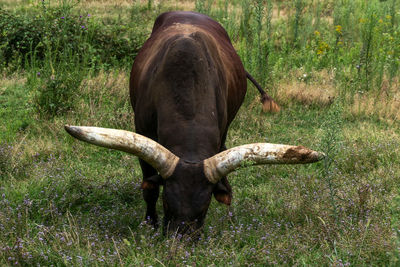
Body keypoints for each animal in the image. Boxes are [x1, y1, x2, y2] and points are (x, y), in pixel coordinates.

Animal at [64, 11, 324, 236]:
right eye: (167, 202)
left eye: (205, 206)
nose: (181, 243)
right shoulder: (142, 135)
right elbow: (149, 189)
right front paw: (150, 225)